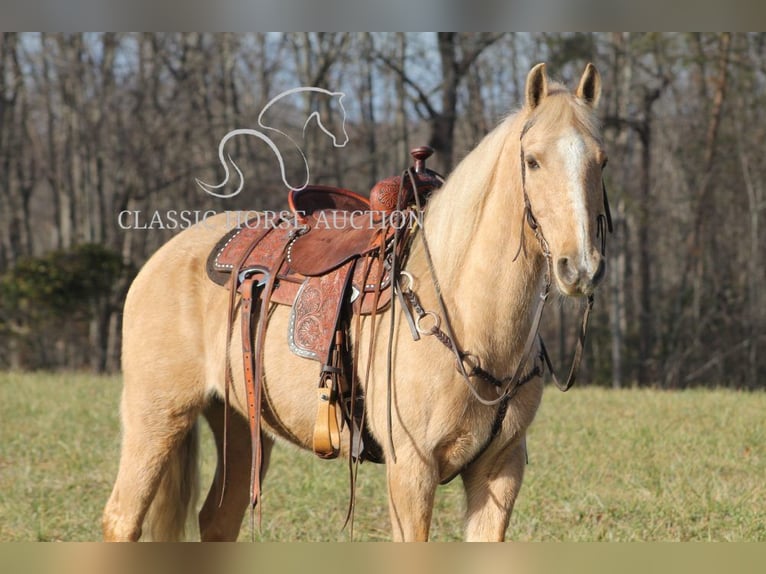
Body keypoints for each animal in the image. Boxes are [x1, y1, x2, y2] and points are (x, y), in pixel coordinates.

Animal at [102, 64, 608, 544]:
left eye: (601, 161)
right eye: (533, 161)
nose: (579, 267)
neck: (465, 316)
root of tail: (163, 257)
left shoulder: (500, 471)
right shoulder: (411, 472)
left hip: (241, 427)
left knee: (217, 521)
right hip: (156, 420)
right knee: (122, 518)